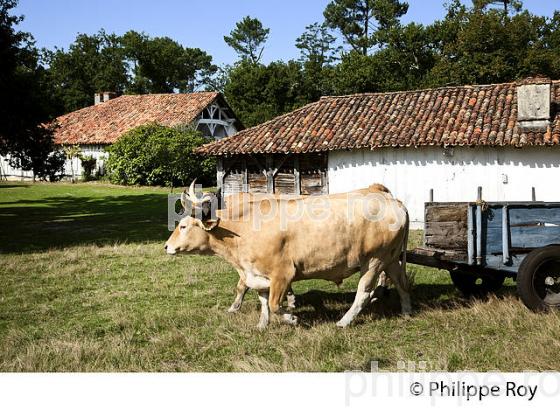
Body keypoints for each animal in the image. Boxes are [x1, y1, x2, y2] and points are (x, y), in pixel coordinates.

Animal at [166, 182, 412, 326]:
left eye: (184, 226)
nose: (166, 247)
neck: (244, 228)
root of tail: (393, 201)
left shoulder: (282, 273)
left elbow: (274, 305)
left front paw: (291, 318)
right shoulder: (257, 274)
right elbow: (263, 302)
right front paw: (261, 325)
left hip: (373, 260)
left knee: (363, 293)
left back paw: (343, 321)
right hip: (390, 258)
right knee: (402, 283)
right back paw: (407, 312)